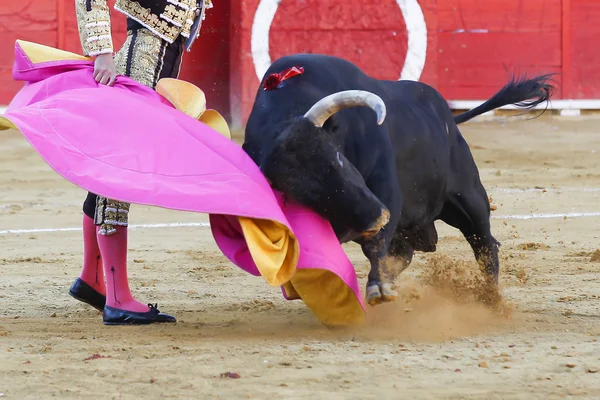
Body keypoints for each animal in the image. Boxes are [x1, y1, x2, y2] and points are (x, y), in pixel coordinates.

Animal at [241, 52, 556, 304]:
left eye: (338, 157)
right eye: (301, 192)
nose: (375, 219)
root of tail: (448, 118)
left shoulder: (386, 186)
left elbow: (377, 243)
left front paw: (378, 287)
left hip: (468, 196)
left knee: (483, 241)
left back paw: (491, 298)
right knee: (407, 251)